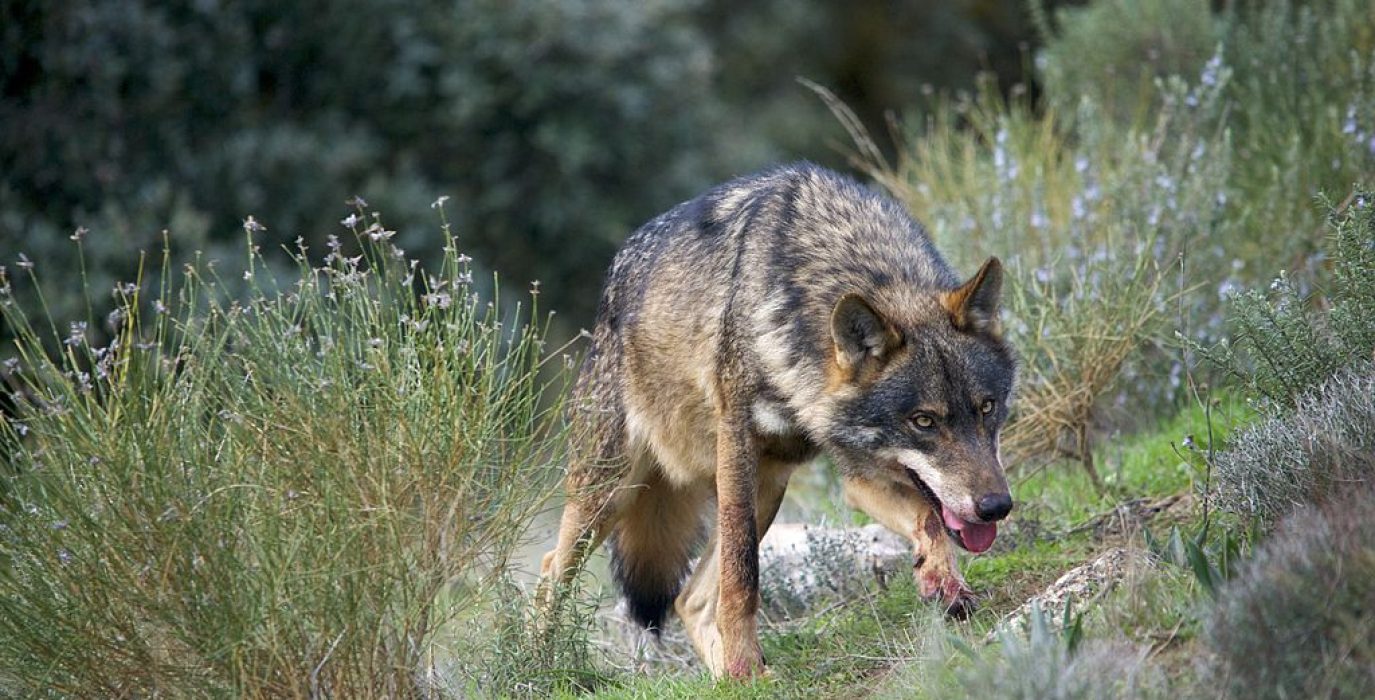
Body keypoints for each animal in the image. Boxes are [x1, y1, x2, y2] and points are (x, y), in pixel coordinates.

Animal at [539, 162, 1017, 679]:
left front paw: (942, 582)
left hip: (767, 488)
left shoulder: (858, 473)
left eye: (987, 407)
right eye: (924, 421)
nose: (996, 506)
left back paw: (731, 680)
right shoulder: (737, 446)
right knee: (550, 571)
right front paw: (743, 660)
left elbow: (929, 518)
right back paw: (539, 665)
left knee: (689, 600)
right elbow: (742, 575)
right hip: (612, 493)